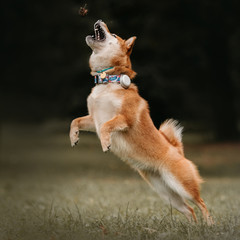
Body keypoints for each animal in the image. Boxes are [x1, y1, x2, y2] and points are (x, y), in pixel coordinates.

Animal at [70, 19, 213, 225]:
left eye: (114, 35)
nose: (99, 20)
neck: (108, 81)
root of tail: (179, 152)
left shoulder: (124, 118)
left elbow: (106, 126)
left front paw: (106, 144)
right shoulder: (93, 119)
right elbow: (76, 121)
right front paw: (73, 137)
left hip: (182, 186)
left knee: (201, 204)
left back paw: (209, 225)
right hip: (167, 193)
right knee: (189, 210)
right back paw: (193, 228)